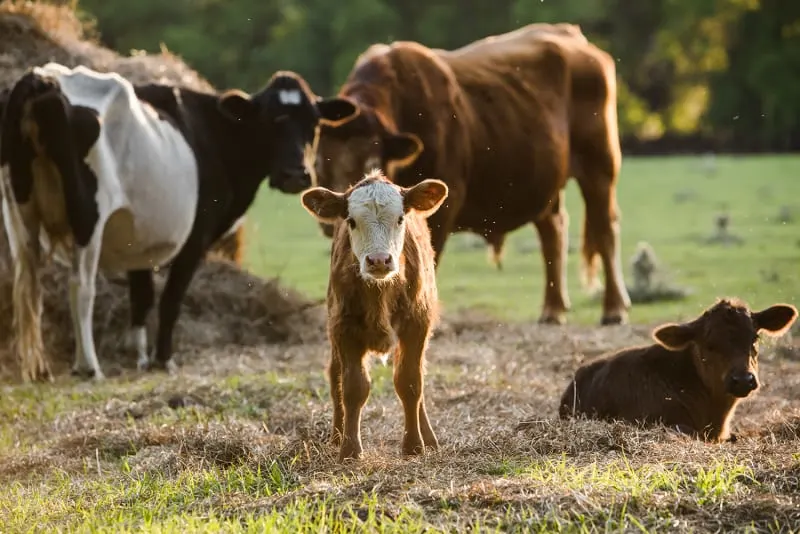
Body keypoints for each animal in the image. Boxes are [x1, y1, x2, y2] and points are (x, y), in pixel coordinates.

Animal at [0, 62, 357, 382]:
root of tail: (43, 77)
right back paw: (89, 367)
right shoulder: (195, 238)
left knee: (29, 286)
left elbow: (142, 297)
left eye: (314, 123)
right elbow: (170, 299)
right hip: (88, 217)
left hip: (20, 212)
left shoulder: (139, 237)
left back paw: (38, 368)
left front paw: (140, 358)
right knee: (81, 287)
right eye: (269, 121)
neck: (213, 133)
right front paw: (162, 360)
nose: (296, 174)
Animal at [300, 169, 448, 461]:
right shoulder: (343, 328)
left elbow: (410, 383)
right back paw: (336, 436)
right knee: (335, 375)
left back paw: (429, 438)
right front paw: (349, 449)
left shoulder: (417, 326)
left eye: (400, 218)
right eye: (351, 221)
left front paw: (414, 445)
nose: (379, 260)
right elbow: (352, 387)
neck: (381, 292)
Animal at [306, 23, 631, 325]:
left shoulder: (442, 206)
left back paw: (614, 308)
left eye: (372, 161)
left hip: (600, 166)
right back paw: (552, 309)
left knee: (605, 227)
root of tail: (574, 38)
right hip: (545, 179)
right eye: (320, 162)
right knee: (553, 231)